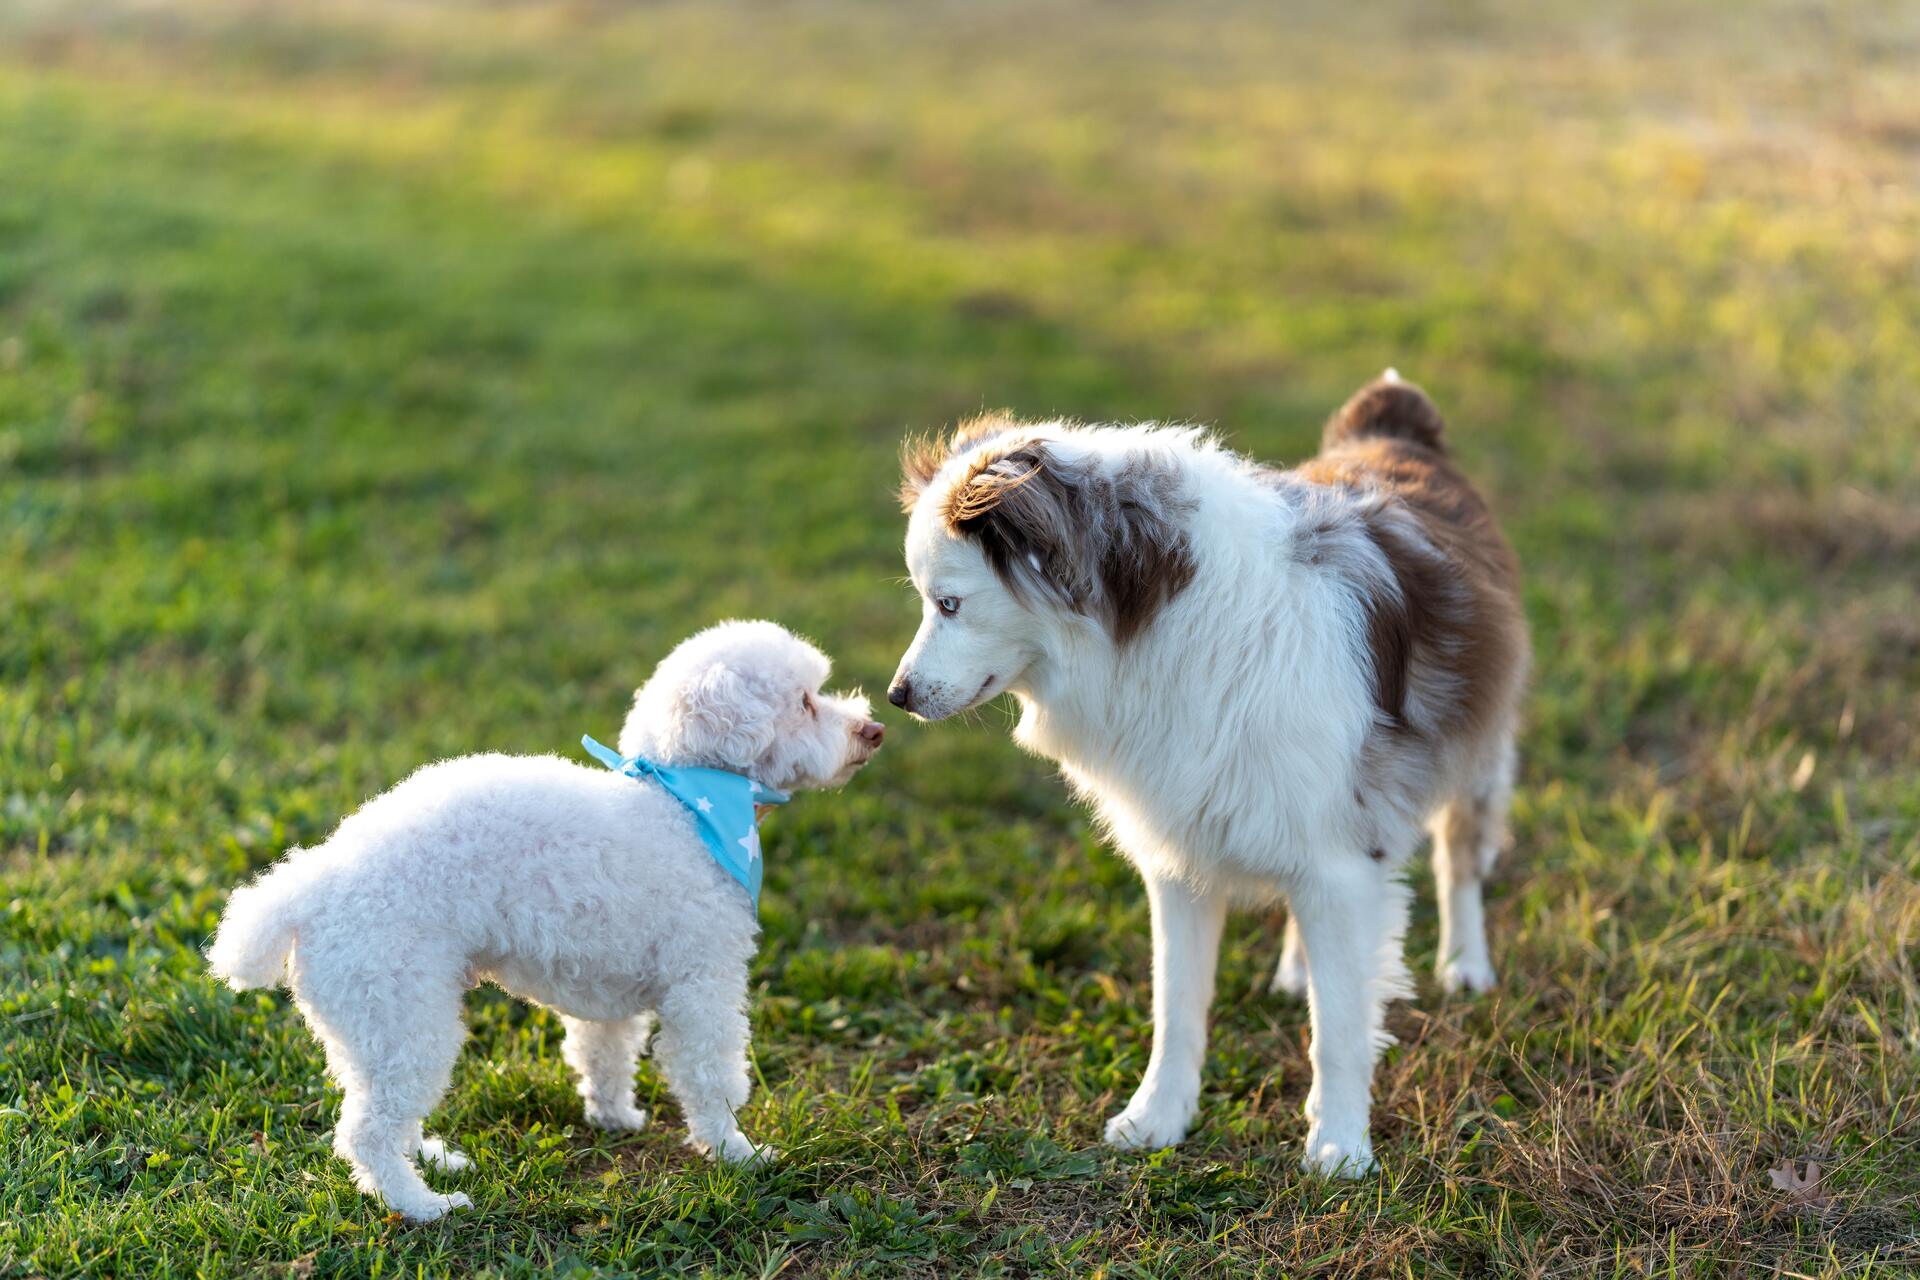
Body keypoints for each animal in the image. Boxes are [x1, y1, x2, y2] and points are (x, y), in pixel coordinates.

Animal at [206, 621, 879, 1220]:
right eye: (805, 703)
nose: (872, 730)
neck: (683, 806)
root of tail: (307, 888)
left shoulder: (613, 989)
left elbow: (603, 1058)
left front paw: (614, 1118)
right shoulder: (702, 984)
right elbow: (710, 1075)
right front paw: (738, 1153)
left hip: (366, 1025)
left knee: (379, 1105)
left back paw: (434, 1160)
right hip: (402, 1014)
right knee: (367, 1131)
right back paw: (421, 1205)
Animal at [887, 370, 1528, 1174]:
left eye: (949, 603)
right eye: (924, 601)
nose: (896, 696)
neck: (1159, 621)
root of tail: (1393, 429)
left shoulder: (1342, 853)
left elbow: (1342, 1026)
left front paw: (1340, 1145)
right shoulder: (1184, 851)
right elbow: (1177, 1006)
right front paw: (1158, 1117)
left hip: (1477, 751)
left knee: (1460, 861)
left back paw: (1465, 964)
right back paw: (1298, 969)